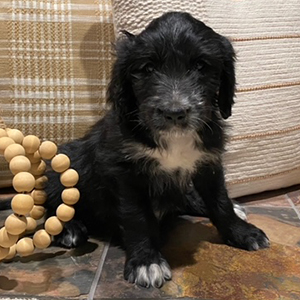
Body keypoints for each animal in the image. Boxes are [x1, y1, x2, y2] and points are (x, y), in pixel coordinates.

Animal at [45, 12, 270, 288]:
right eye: (148, 68)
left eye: (201, 66)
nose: (174, 113)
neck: (174, 139)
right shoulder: (126, 172)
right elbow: (138, 217)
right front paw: (146, 261)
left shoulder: (209, 162)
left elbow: (220, 200)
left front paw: (241, 232)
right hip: (64, 166)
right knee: (51, 204)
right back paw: (69, 229)